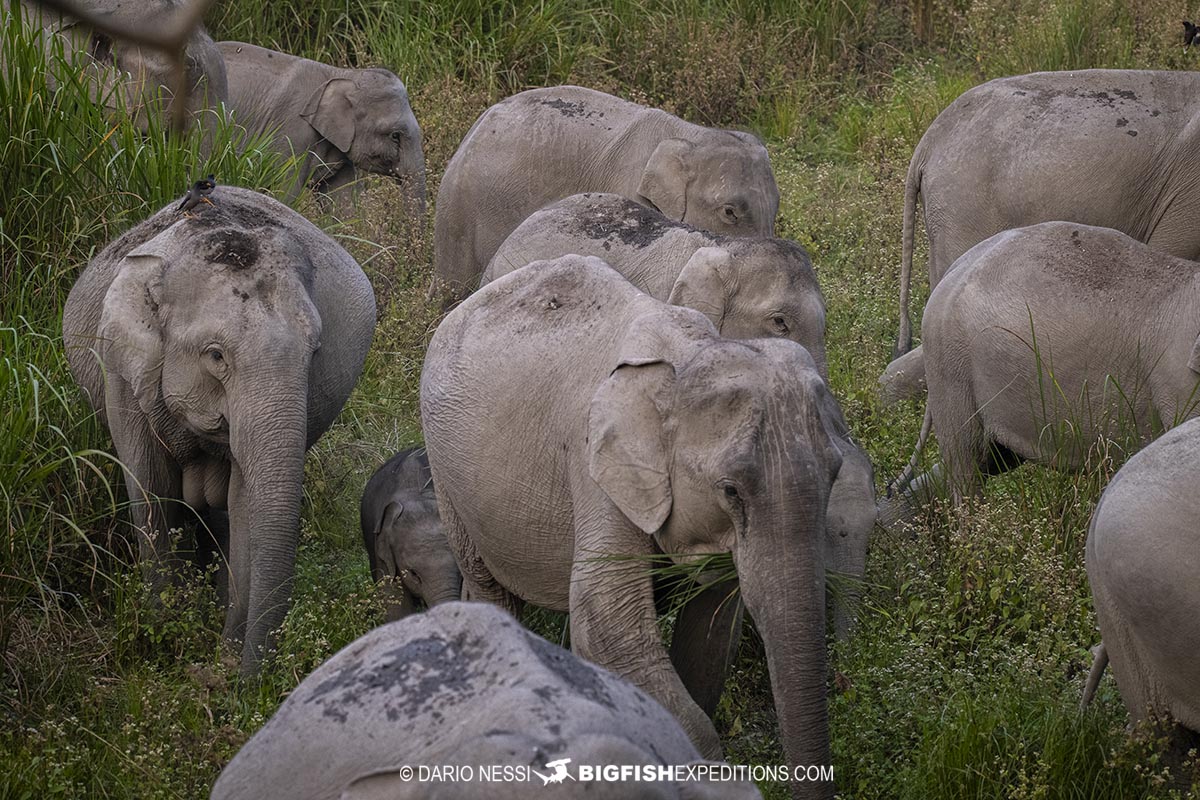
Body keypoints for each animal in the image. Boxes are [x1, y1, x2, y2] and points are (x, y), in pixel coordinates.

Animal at [62, 185, 376, 674]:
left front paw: (223, 656)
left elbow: (244, 503)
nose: (245, 680)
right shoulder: (121, 370)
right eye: (215, 356)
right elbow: (151, 490)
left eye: (316, 352)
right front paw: (167, 640)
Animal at [421, 255, 842, 799]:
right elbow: (607, 626)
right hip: (445, 470)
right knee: (492, 589)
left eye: (834, 474)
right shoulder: (595, 462)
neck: (689, 356)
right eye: (730, 491)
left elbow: (709, 628)